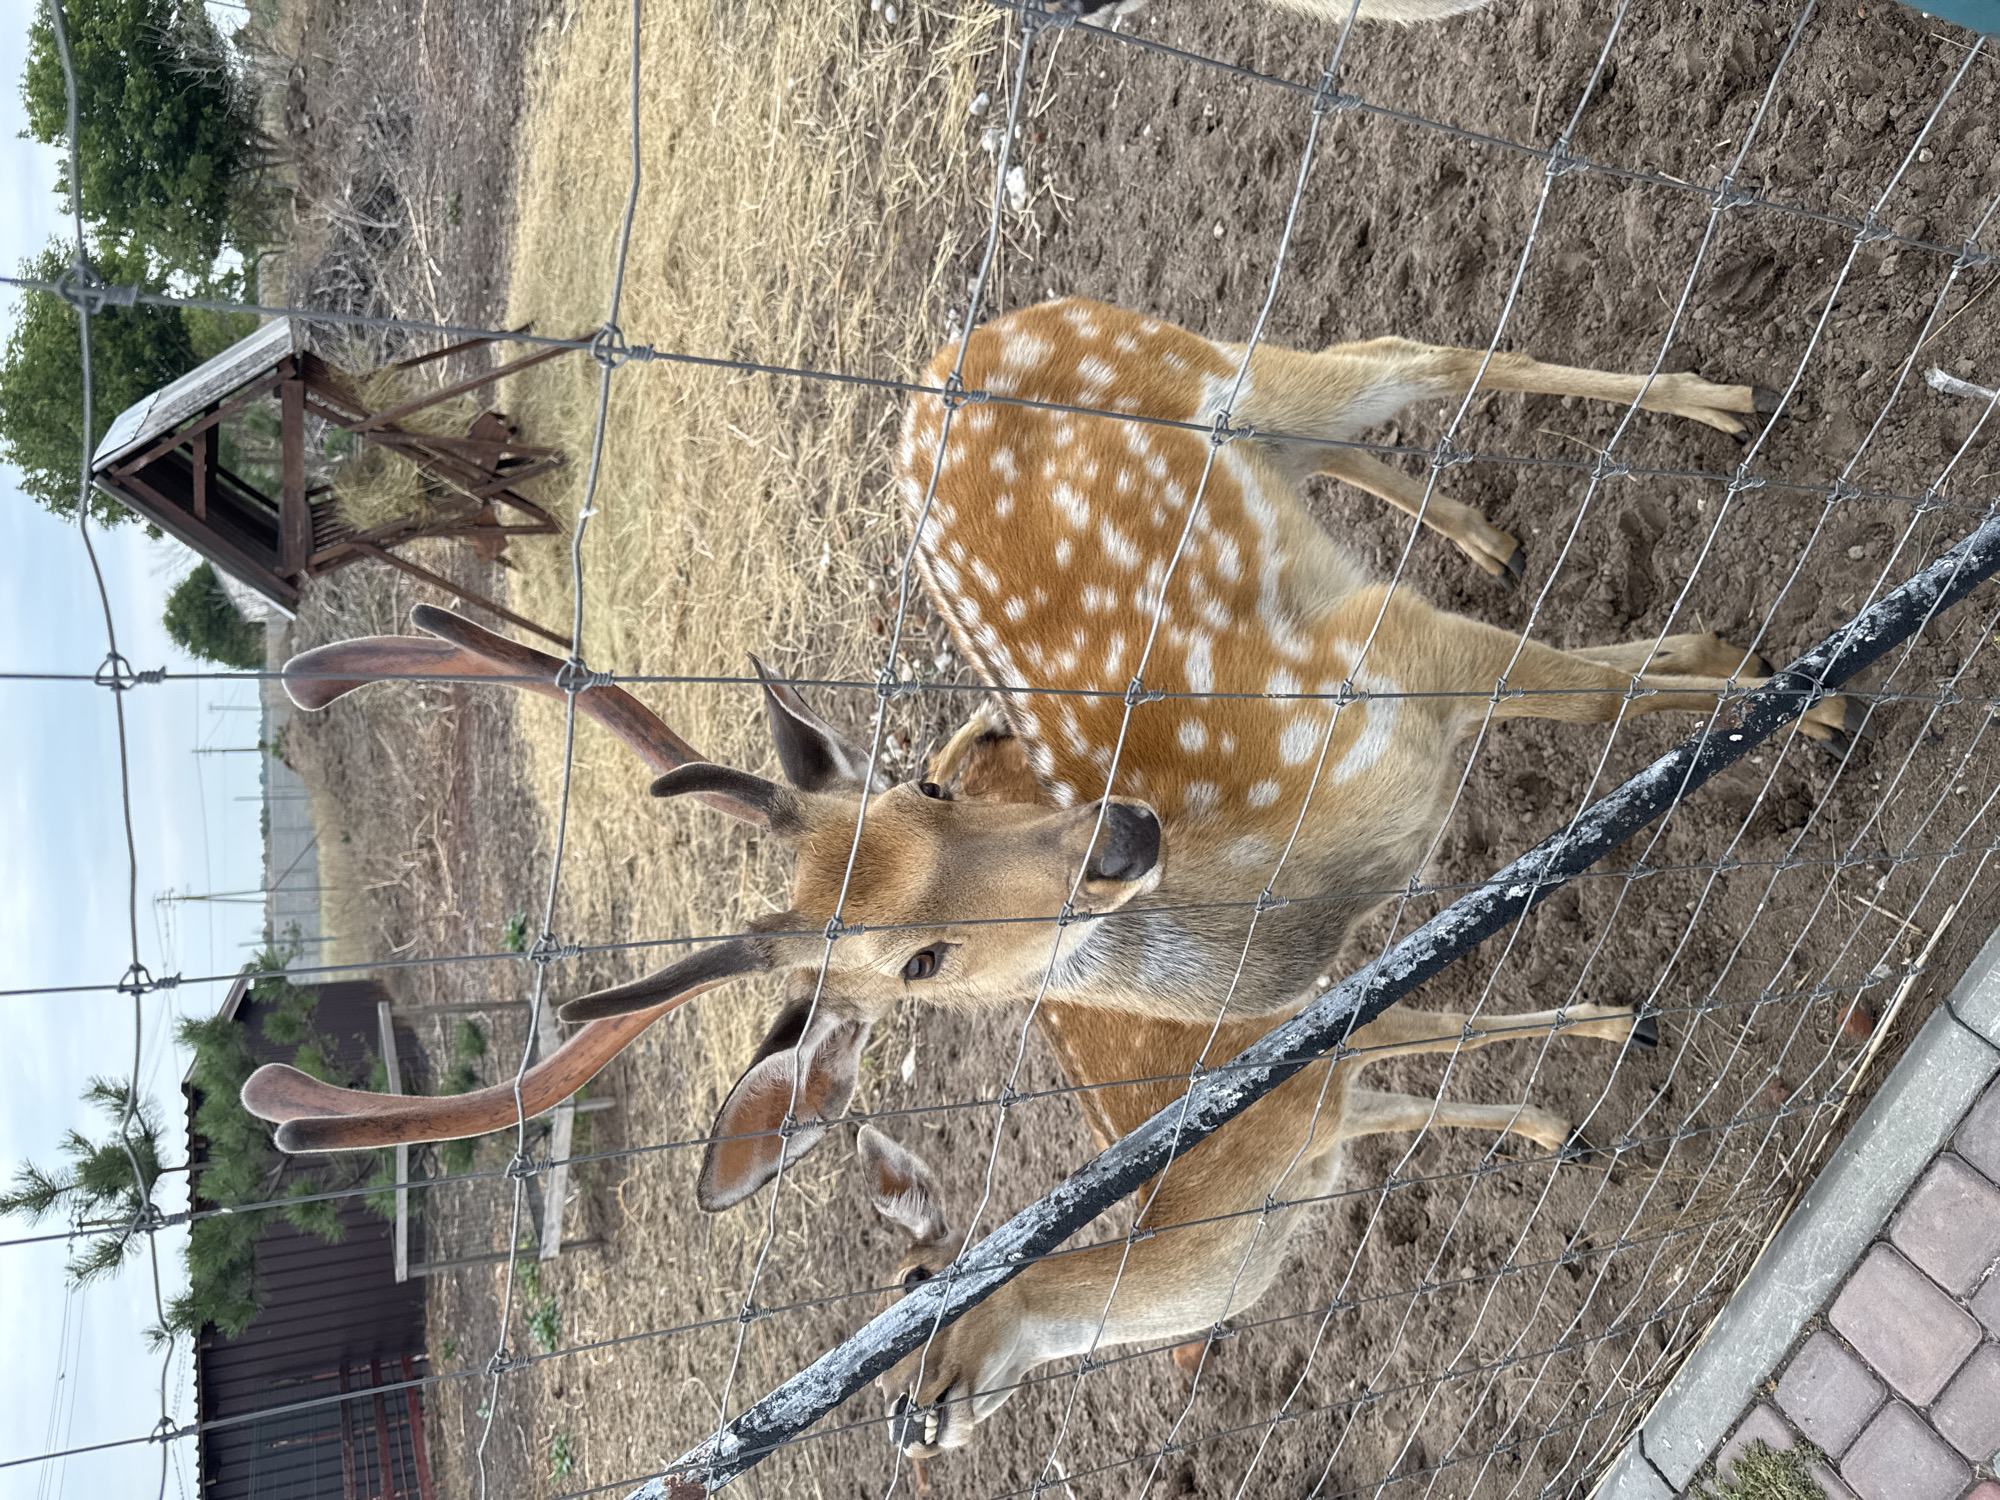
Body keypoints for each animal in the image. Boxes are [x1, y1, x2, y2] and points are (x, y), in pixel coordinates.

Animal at [240, 297, 1851, 1227]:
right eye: (918, 967)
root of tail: (945, 352)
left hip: (1209, 360)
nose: (1118, 839)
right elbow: (1567, 752)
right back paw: (1499, 528)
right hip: (1252, 424)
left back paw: (1718, 404)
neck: (1288, 875)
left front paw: (1789, 697)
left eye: (927, 785)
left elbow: (1594, 697)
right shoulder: (1336, 923)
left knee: (1426, 356)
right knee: (1350, 442)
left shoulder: (1384, 658)